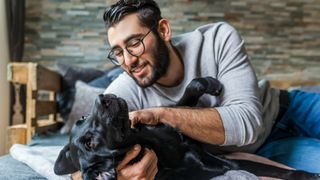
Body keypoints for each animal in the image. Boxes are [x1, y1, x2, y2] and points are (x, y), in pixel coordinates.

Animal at [55, 77, 320, 180]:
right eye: (90, 143)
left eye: (81, 118)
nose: (101, 98)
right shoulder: (226, 165)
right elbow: (278, 171)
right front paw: (308, 175)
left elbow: (187, 93)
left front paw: (211, 84)